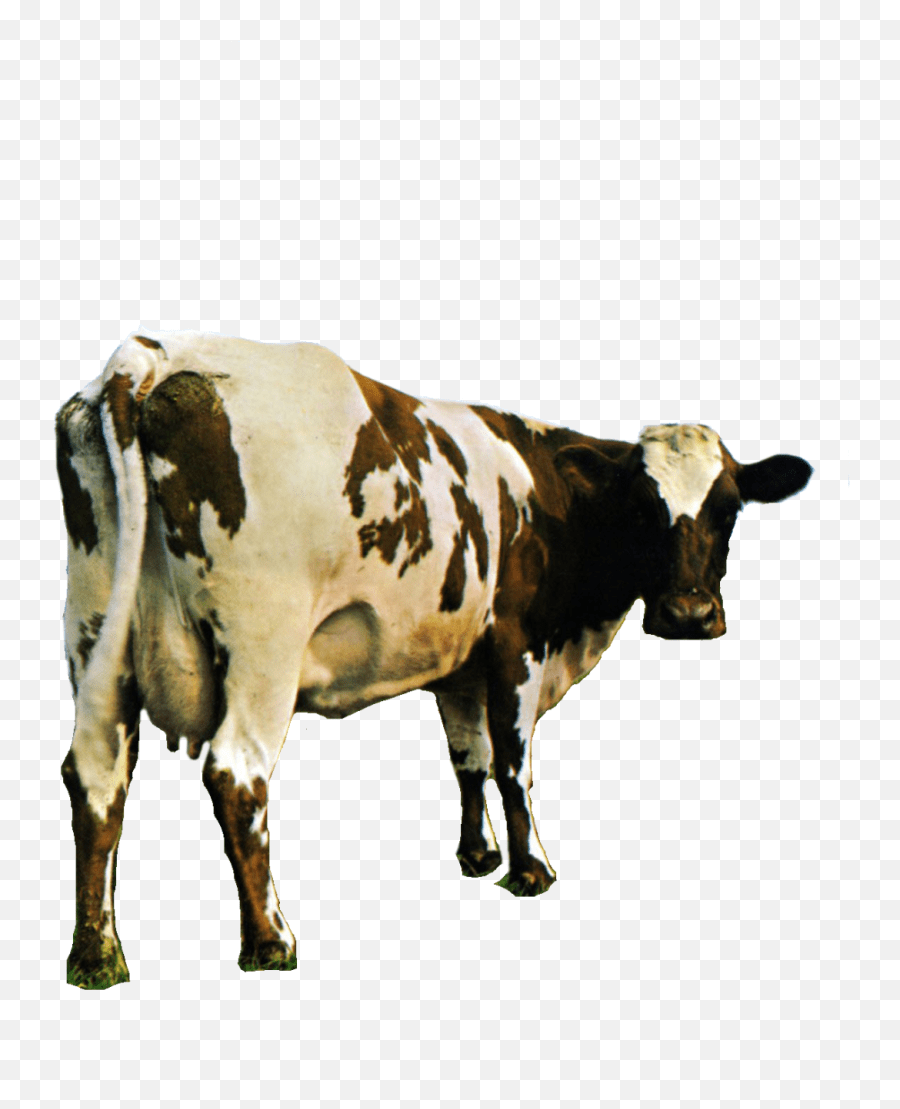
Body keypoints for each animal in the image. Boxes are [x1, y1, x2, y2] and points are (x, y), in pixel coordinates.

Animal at [57, 332, 812, 988]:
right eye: (641, 508)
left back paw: (97, 953)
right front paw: (531, 869)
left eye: (730, 508)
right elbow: (512, 764)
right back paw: (270, 940)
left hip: (95, 634)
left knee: (96, 776)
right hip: (262, 646)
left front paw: (478, 855)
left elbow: (467, 758)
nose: (689, 615)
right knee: (236, 776)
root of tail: (155, 356)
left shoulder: (458, 666)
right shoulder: (517, 644)